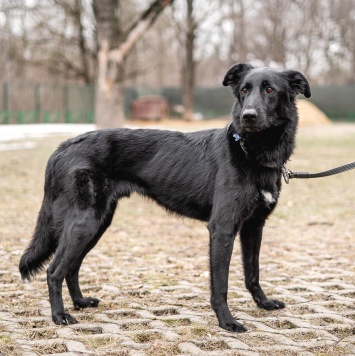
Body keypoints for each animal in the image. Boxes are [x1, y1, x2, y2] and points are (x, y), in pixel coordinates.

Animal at [19, 62, 310, 332]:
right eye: (244, 91)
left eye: (270, 90)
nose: (248, 115)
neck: (251, 153)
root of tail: (61, 148)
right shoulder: (222, 229)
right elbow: (221, 284)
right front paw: (226, 321)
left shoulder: (253, 227)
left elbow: (253, 272)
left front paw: (263, 303)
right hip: (85, 223)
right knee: (54, 270)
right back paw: (60, 316)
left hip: (97, 224)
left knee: (72, 266)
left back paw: (80, 302)